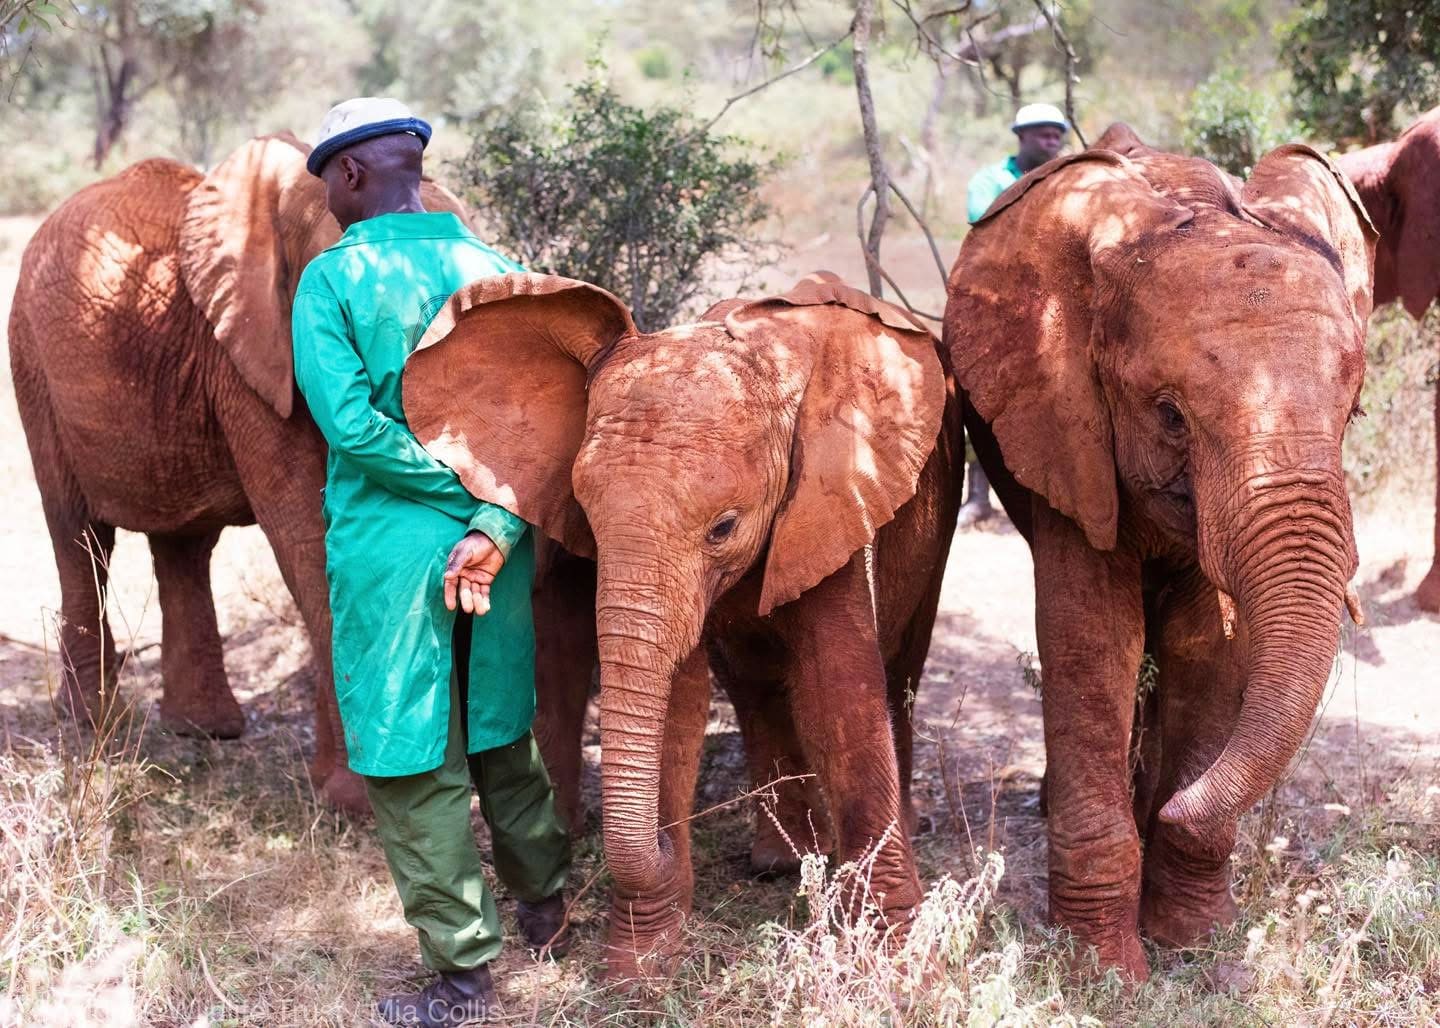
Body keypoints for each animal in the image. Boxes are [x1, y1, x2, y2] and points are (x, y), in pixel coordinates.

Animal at [8, 132, 472, 813]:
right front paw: (355, 804)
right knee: (79, 536)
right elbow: (306, 527)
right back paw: (94, 723)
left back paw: (204, 730)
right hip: (32, 364)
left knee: (182, 548)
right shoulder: (251, 354)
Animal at [402, 271, 963, 978]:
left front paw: (896, 961)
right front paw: (637, 967)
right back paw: (778, 863)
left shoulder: (834, 500)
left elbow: (839, 690)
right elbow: (678, 698)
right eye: (585, 516)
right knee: (754, 687)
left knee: (900, 673)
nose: (667, 848)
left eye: (724, 527)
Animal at [944, 124, 1375, 979]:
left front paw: (1192, 941)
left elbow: (1208, 647)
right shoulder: (1065, 429)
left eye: (1351, 412)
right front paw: (1103, 969)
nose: (1178, 810)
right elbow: (1090, 638)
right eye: (1170, 416)